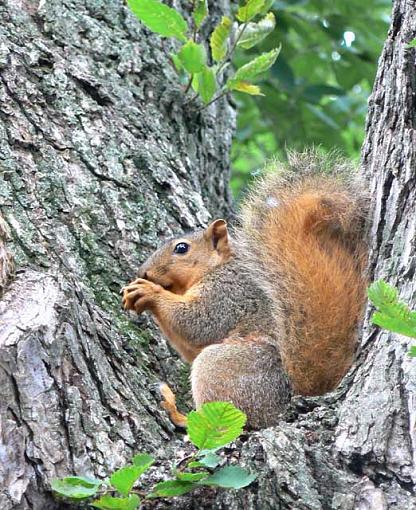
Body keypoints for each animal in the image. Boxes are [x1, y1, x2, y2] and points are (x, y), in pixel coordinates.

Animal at [120, 152, 368, 430]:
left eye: (181, 248)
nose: (143, 273)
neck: (217, 267)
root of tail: (286, 402)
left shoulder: (228, 293)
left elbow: (197, 322)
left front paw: (148, 292)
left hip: (223, 367)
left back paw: (177, 413)